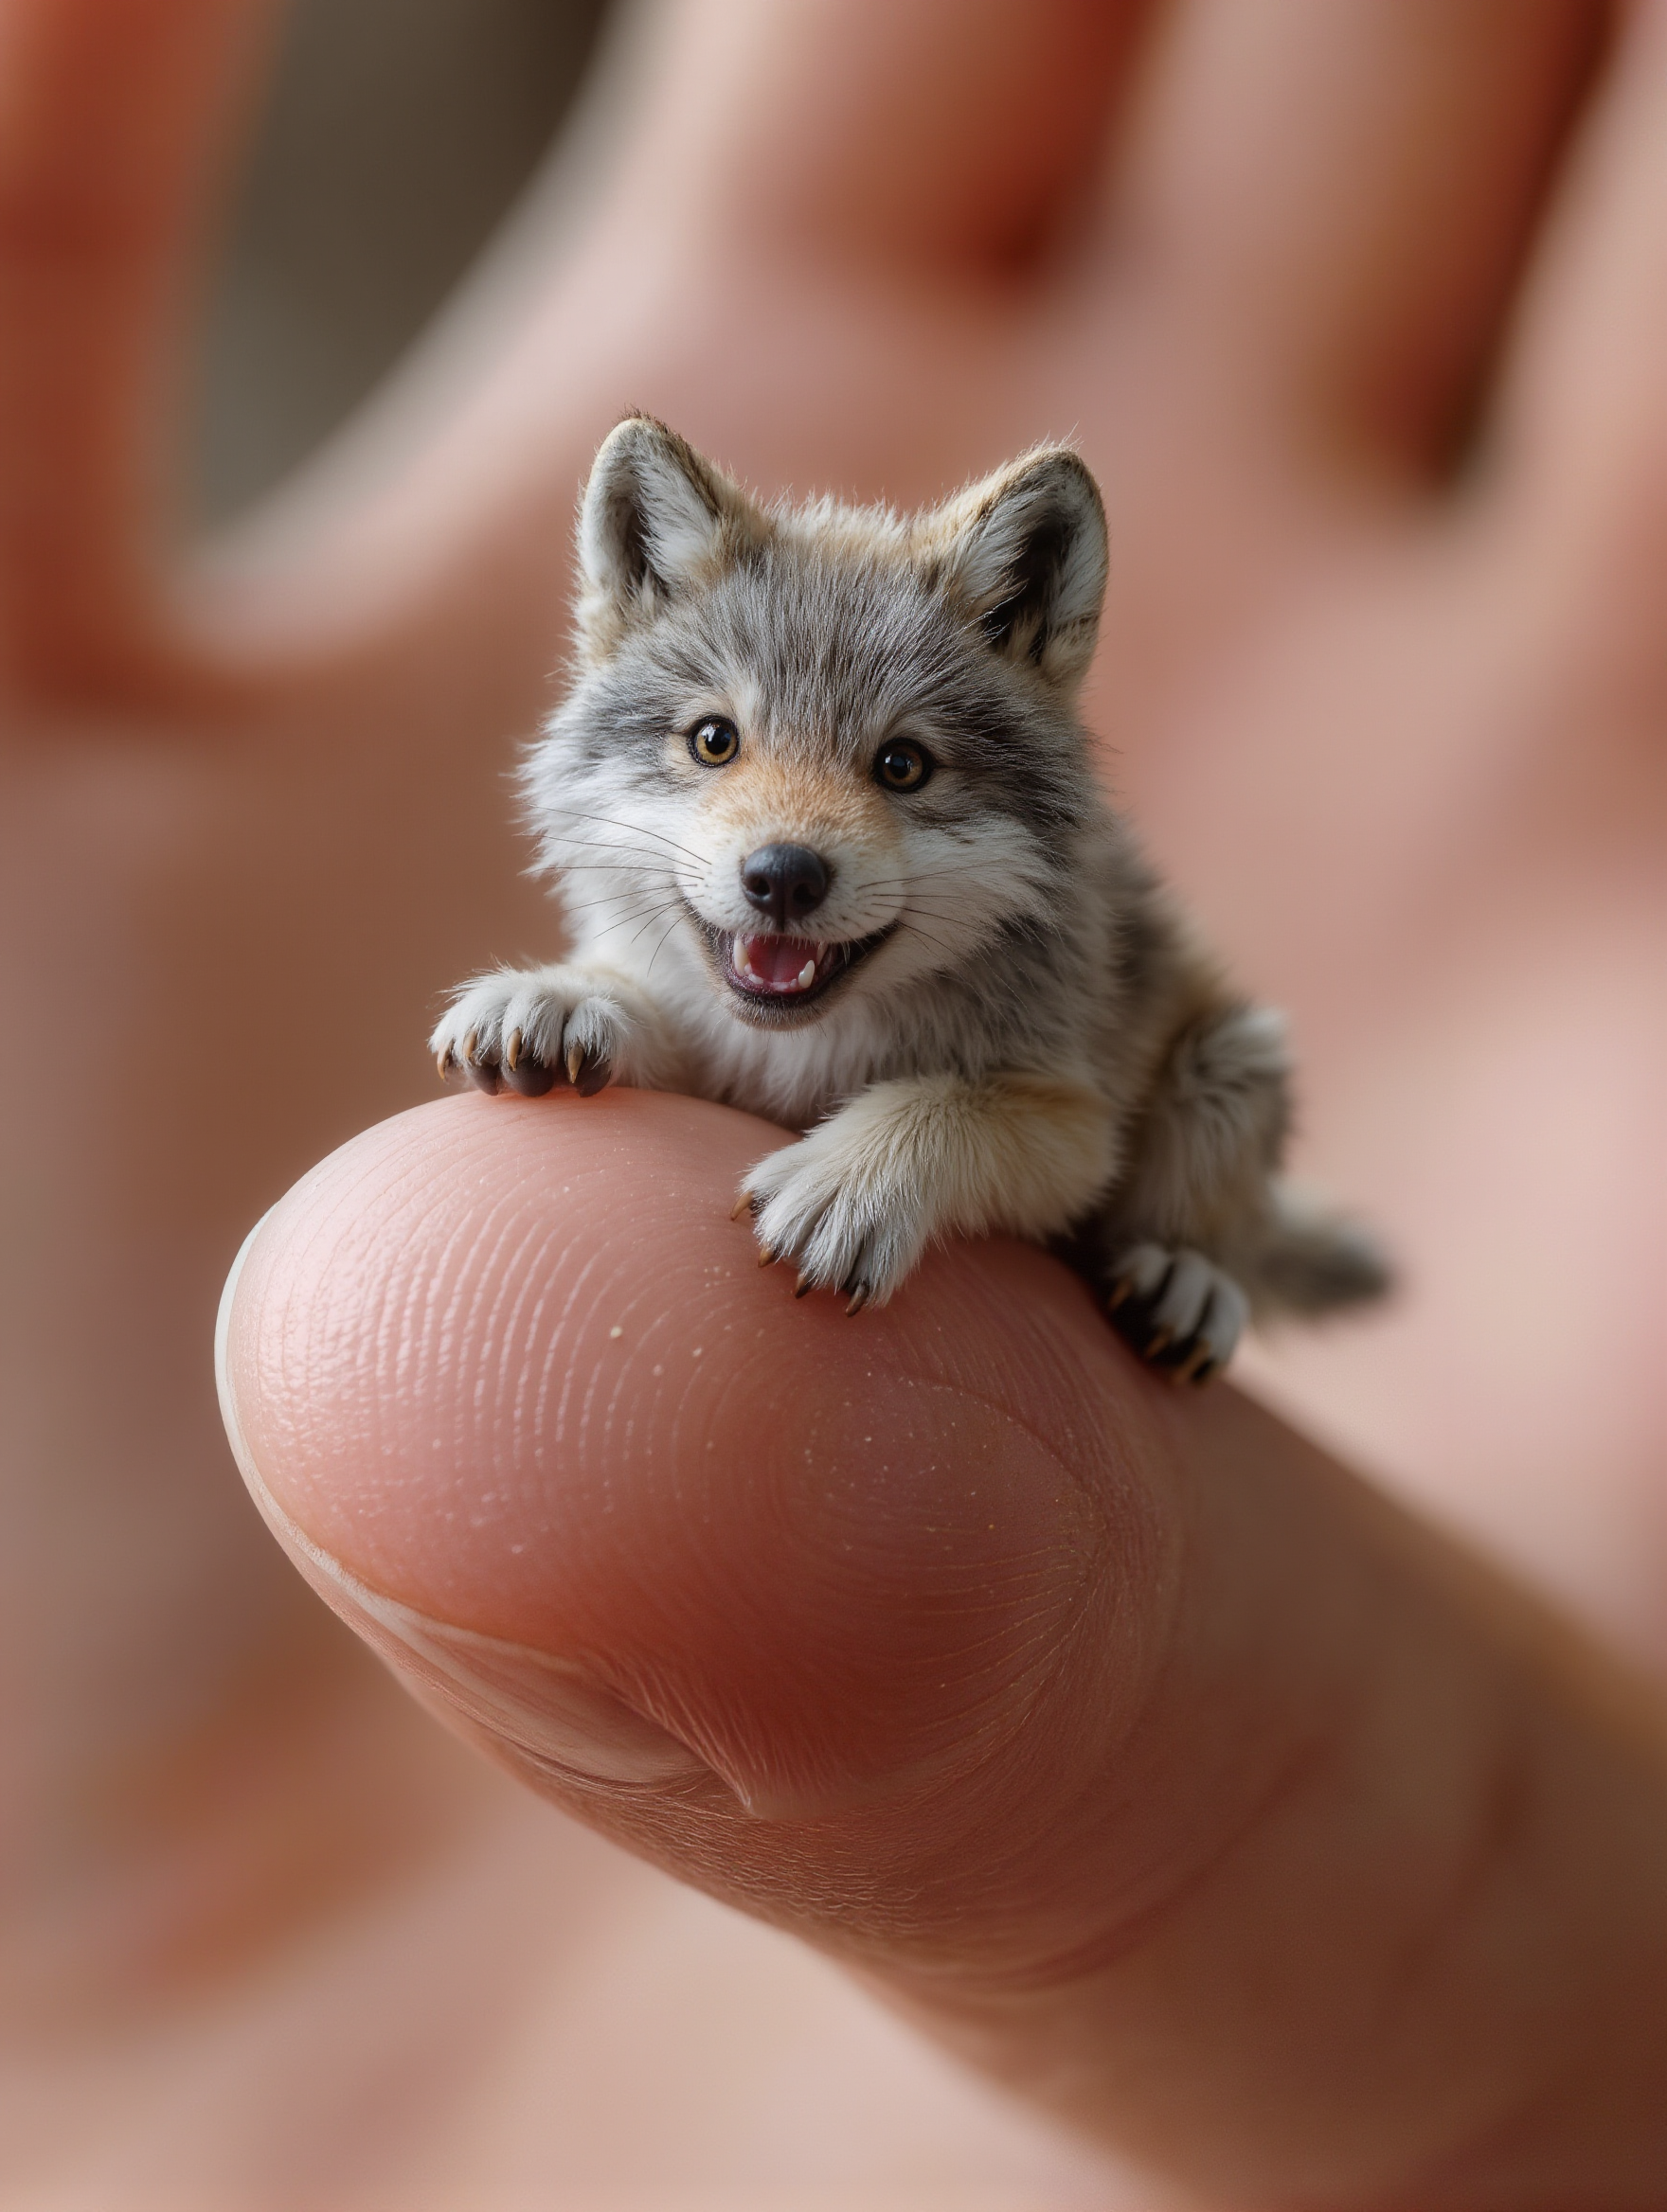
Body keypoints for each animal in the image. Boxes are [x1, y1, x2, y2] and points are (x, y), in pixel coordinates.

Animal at [430, 416, 1387, 1381]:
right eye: (713, 741)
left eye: (902, 766)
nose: (783, 876)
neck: (803, 1057)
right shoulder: (718, 1056)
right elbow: (651, 1008)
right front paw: (566, 995)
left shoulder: (1076, 1129)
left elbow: (938, 1104)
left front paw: (847, 1184)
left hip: (1225, 1061)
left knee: (1220, 1238)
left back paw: (1191, 1281)